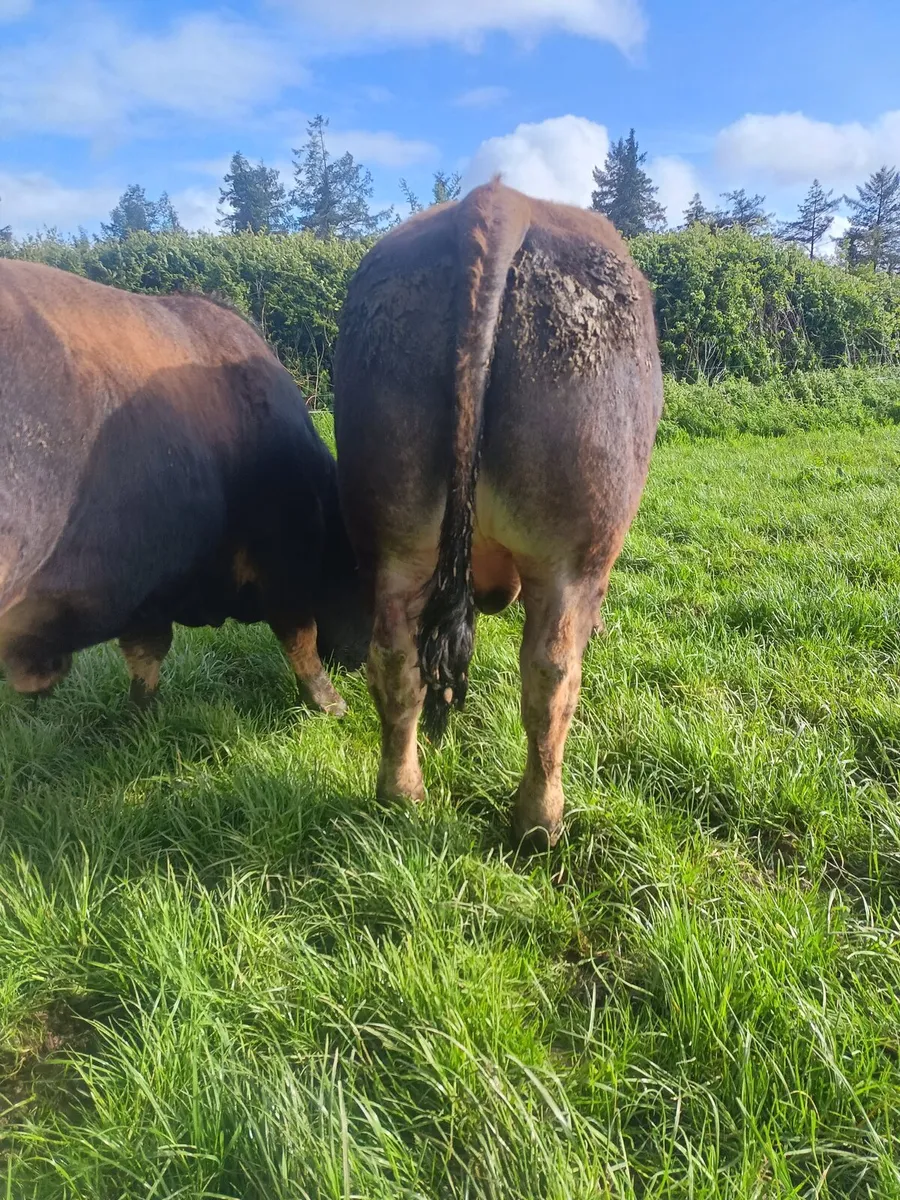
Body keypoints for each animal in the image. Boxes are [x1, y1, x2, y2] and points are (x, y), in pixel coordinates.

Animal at [0, 259, 369, 713]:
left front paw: (141, 713)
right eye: (358, 571)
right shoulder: (284, 551)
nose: (356, 664)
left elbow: (146, 654)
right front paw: (329, 702)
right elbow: (299, 634)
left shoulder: (147, 589)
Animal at [333, 179, 663, 849]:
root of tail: (499, 201)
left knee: (395, 661)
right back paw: (539, 822)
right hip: (571, 556)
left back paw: (401, 795)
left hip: (394, 538)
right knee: (551, 675)